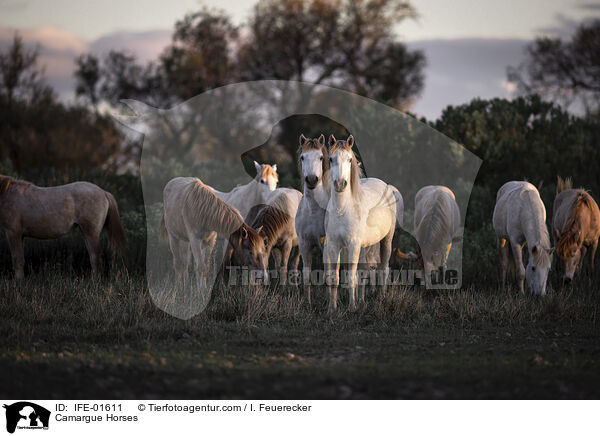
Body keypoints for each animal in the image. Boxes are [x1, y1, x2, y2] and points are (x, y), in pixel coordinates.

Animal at [324, 135, 398, 312]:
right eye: (331, 159)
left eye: (350, 159)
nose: (340, 184)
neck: (342, 209)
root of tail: (385, 186)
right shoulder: (334, 245)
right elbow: (335, 278)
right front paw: (332, 309)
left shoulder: (353, 245)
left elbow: (351, 277)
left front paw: (352, 308)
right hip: (365, 246)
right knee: (363, 272)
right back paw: (362, 301)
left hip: (386, 241)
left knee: (383, 269)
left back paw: (381, 298)